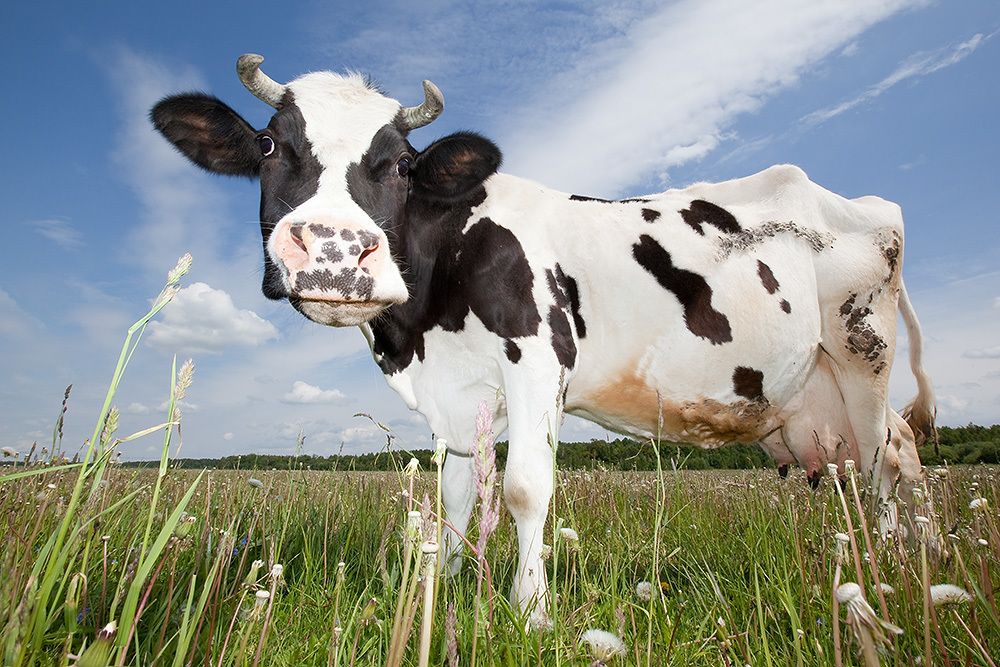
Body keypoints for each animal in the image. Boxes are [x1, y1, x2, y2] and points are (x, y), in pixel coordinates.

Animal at [151, 55, 935, 624]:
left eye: (401, 162)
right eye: (268, 143)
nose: (336, 252)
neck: (422, 328)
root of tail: (856, 200)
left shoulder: (538, 359)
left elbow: (527, 486)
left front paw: (531, 612)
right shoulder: (457, 392)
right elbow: (457, 498)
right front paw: (452, 591)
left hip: (862, 350)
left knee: (884, 458)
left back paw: (889, 570)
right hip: (818, 390)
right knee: (897, 451)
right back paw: (914, 555)